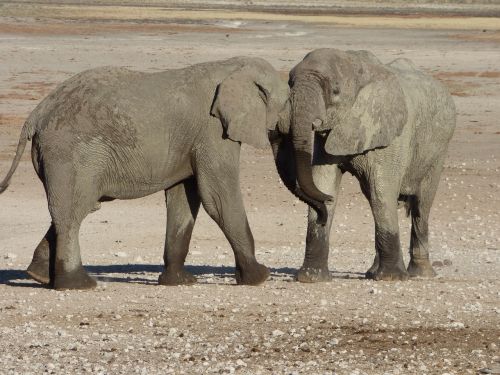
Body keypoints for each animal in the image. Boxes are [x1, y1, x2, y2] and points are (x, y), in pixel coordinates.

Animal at [0, 55, 290, 290]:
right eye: (288, 100)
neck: (231, 66)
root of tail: (35, 115)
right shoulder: (212, 130)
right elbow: (217, 197)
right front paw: (259, 278)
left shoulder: (192, 140)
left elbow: (183, 199)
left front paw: (179, 282)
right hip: (70, 153)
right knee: (74, 211)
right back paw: (79, 285)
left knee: (76, 207)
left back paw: (38, 275)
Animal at [274, 47, 458, 282]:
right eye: (289, 83)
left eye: (335, 91)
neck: (355, 67)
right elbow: (324, 182)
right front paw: (312, 278)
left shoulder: (391, 134)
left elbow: (382, 191)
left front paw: (391, 278)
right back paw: (372, 272)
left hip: (439, 149)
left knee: (420, 205)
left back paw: (421, 274)